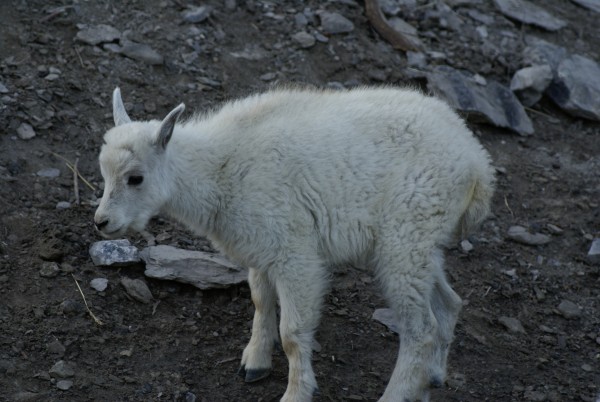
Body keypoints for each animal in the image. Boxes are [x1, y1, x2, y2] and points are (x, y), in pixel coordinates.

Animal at [96, 86, 494, 400]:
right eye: (103, 171)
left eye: (136, 178)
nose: (102, 222)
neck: (219, 170)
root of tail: (478, 166)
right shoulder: (261, 248)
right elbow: (260, 299)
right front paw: (254, 362)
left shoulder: (294, 252)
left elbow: (292, 331)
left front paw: (296, 392)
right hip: (419, 242)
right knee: (449, 303)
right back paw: (432, 377)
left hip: (406, 237)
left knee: (420, 329)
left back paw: (398, 393)